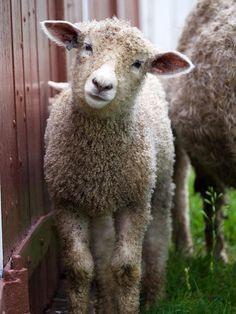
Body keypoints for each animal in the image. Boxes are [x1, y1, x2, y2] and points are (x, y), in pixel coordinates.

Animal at [41, 18, 193, 312]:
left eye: (138, 63)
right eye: (87, 46)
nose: (101, 84)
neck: (99, 157)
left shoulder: (135, 202)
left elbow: (126, 268)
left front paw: (129, 305)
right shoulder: (65, 202)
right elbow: (79, 268)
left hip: (158, 186)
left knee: (157, 237)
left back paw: (155, 295)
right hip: (99, 204)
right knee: (102, 248)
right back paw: (105, 302)